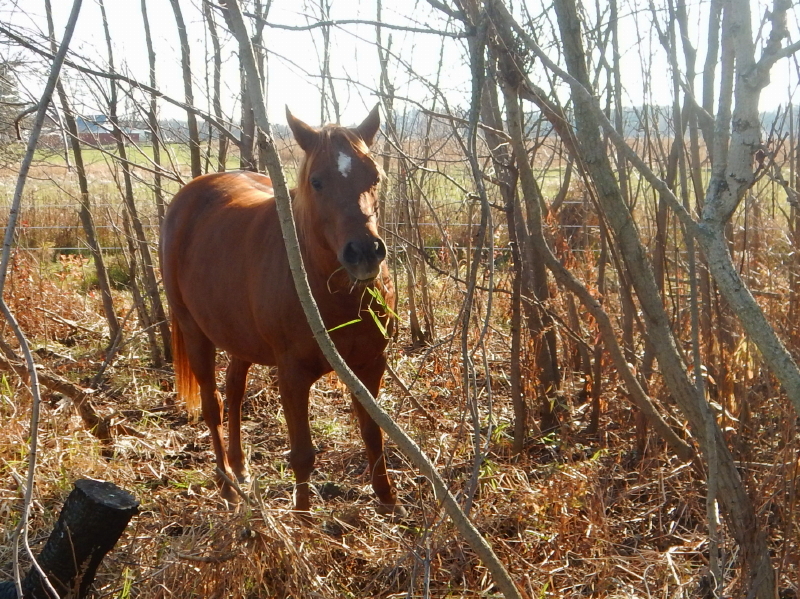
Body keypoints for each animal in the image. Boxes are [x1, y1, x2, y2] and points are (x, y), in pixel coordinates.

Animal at [160, 106, 402, 516]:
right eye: (317, 181)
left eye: (375, 176)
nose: (365, 253)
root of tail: (190, 195)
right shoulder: (292, 375)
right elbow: (302, 453)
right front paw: (303, 517)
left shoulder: (370, 364)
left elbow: (373, 434)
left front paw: (387, 502)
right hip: (195, 333)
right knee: (213, 405)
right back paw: (227, 485)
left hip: (238, 338)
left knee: (235, 392)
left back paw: (240, 468)